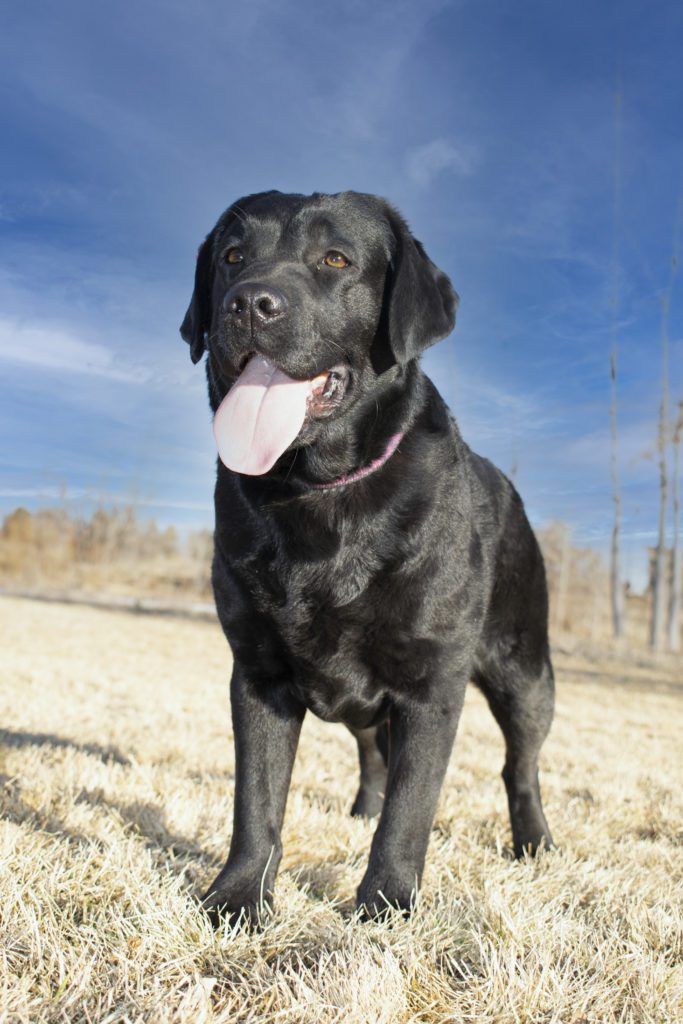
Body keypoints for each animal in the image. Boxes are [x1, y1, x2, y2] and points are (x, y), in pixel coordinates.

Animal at [181, 190, 557, 921]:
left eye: (335, 260)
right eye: (232, 256)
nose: (248, 303)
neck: (316, 491)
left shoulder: (431, 685)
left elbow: (411, 811)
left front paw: (385, 901)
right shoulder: (258, 672)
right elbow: (256, 800)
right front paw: (238, 896)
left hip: (525, 670)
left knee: (518, 766)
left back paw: (534, 842)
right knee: (371, 753)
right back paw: (361, 808)